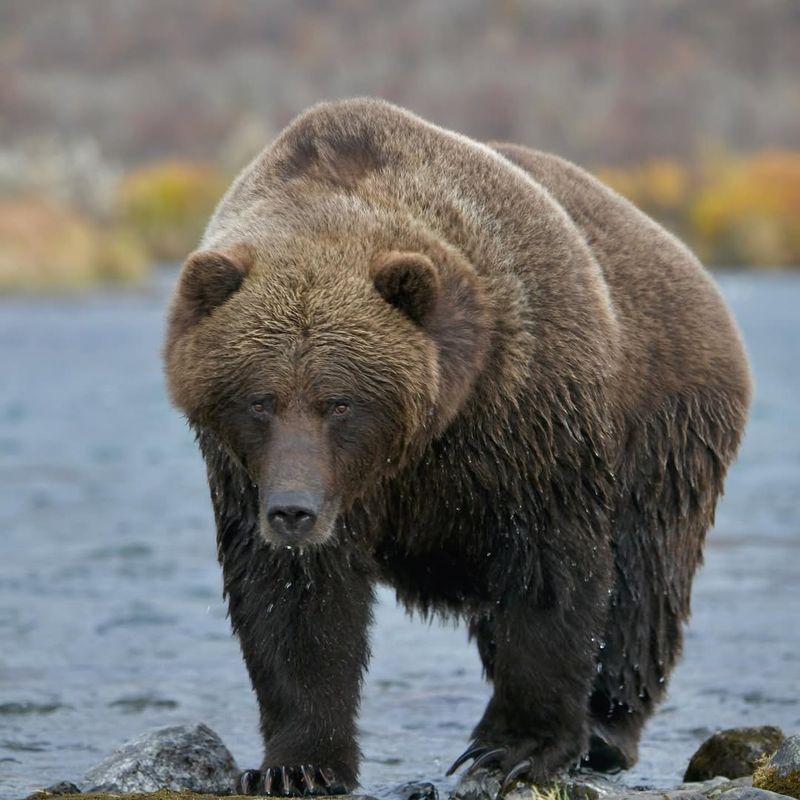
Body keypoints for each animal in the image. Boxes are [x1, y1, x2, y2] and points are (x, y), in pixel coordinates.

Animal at [162, 98, 752, 792]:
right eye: (260, 400)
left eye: (340, 401)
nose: (293, 510)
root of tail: (681, 253)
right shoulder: (252, 476)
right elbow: (295, 603)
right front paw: (298, 764)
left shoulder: (527, 420)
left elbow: (551, 573)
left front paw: (514, 746)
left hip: (665, 428)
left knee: (642, 585)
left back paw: (607, 728)